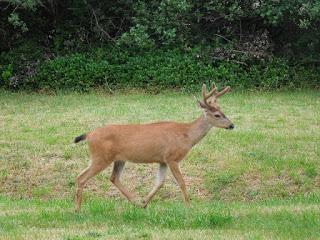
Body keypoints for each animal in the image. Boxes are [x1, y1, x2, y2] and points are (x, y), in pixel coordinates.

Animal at [73, 83, 232, 211]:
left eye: (223, 112)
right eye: (217, 115)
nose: (231, 125)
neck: (187, 135)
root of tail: (89, 134)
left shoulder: (162, 160)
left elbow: (159, 183)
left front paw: (145, 202)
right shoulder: (172, 157)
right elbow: (181, 182)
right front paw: (189, 207)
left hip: (118, 159)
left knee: (113, 178)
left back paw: (136, 203)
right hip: (100, 156)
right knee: (81, 177)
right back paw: (78, 209)